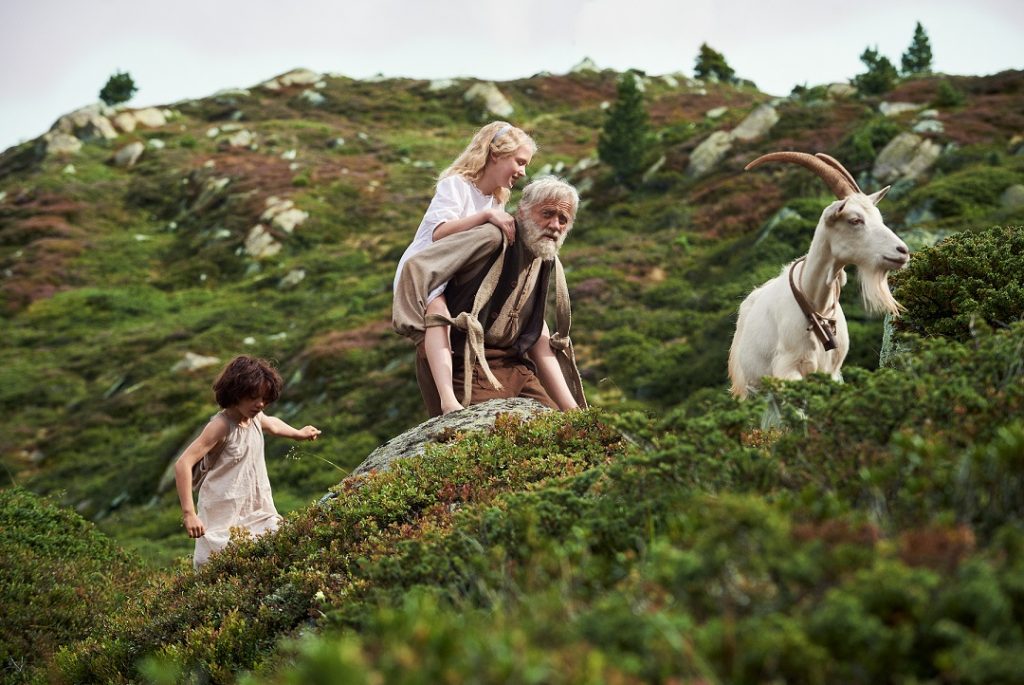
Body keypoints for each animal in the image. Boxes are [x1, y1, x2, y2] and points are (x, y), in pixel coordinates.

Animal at [729, 149, 913, 395]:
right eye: (855, 220)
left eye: (879, 217)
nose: (902, 251)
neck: (814, 305)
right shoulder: (787, 371)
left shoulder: (832, 373)